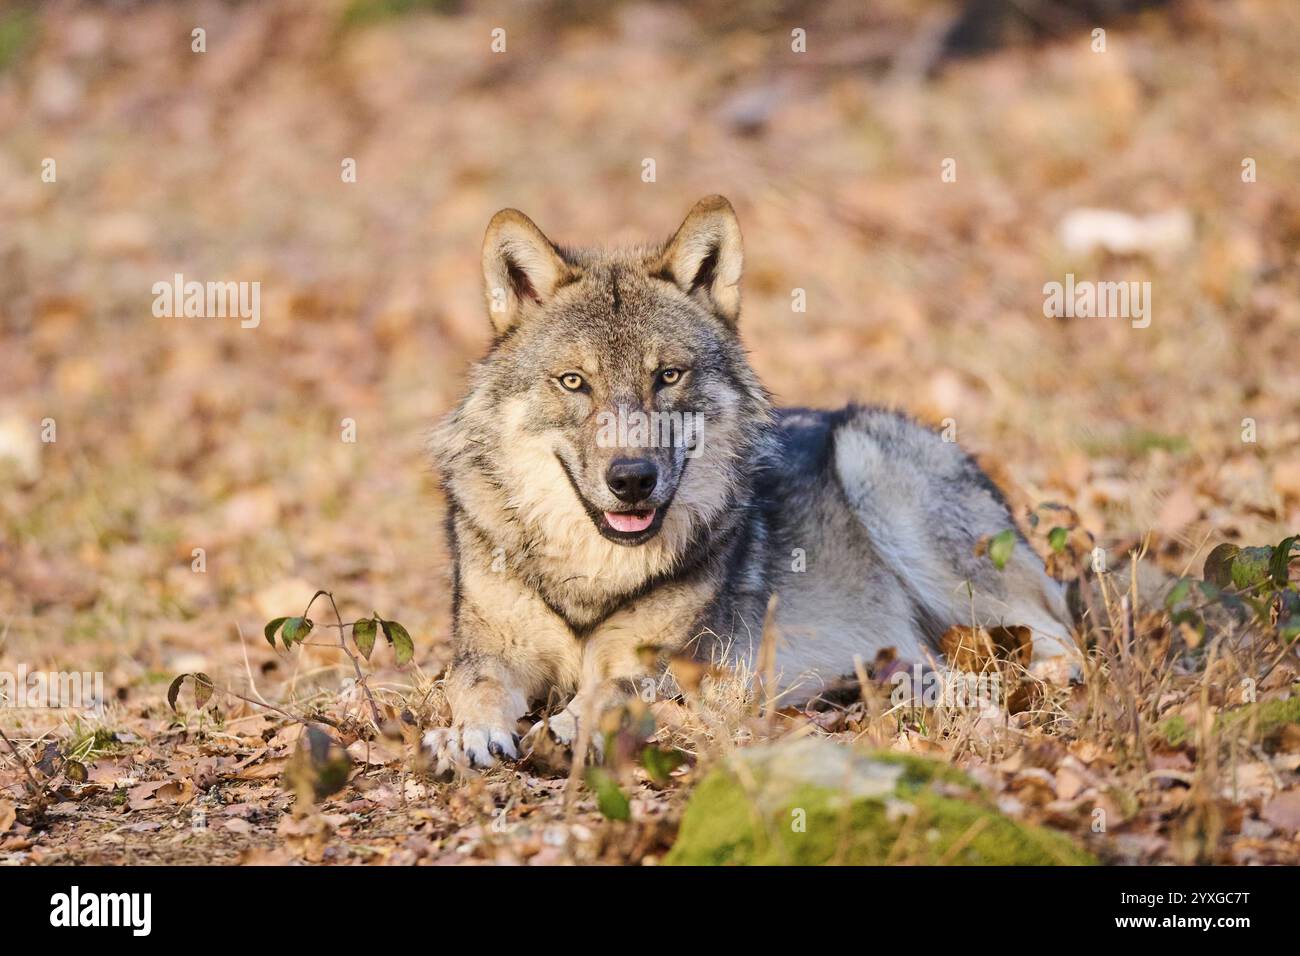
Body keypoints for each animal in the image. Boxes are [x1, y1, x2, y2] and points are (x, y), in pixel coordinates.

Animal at [426, 196, 1076, 770]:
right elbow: (471, 685)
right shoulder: (490, 651)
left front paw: (564, 727)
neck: (592, 579)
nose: (632, 479)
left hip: (882, 485)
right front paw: (468, 735)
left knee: (1059, 630)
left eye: (668, 376)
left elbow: (606, 692)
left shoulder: (666, 664)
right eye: (573, 382)